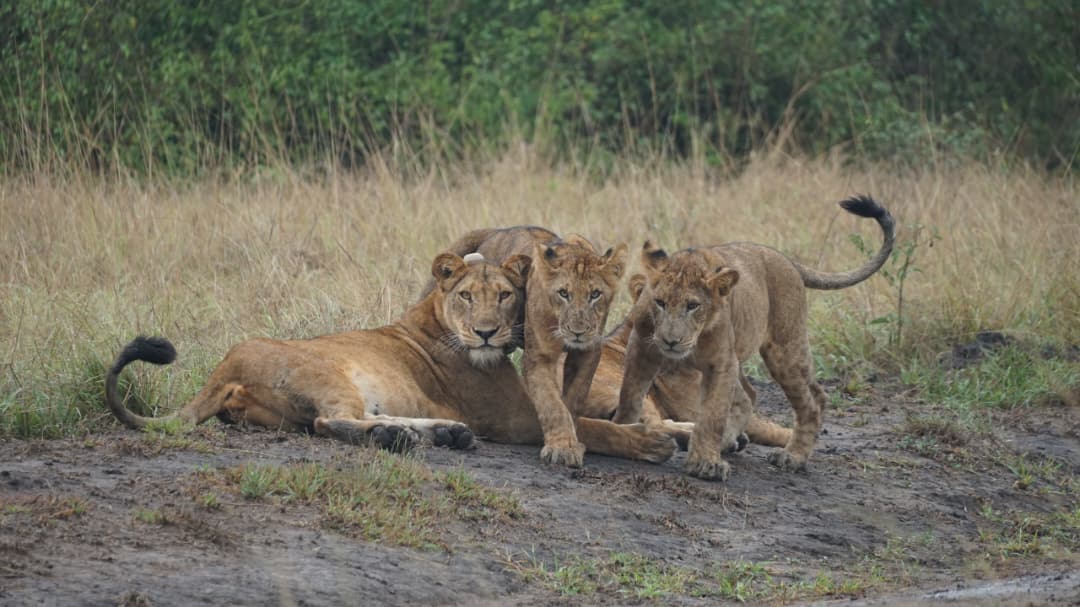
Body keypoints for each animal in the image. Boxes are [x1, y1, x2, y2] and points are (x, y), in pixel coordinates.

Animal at [105, 252, 677, 463]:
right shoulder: (514, 419)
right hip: (330, 374)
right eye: (467, 296)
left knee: (352, 420)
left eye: (505, 294)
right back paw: (400, 438)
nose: (486, 333)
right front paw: (651, 441)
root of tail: (224, 367)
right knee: (331, 422)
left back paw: (436, 433)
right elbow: (587, 426)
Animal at [432, 226, 628, 467]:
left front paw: (571, 440)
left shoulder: (587, 353)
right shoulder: (539, 357)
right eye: (564, 293)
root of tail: (498, 231)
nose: (578, 332)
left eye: (595, 294)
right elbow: (551, 404)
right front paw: (561, 447)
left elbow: (574, 399)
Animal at [611, 195, 895, 480]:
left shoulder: (720, 362)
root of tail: (785, 259)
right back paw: (730, 441)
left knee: (812, 401)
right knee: (752, 395)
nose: (671, 341)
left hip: (784, 350)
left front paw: (705, 463)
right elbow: (630, 395)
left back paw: (793, 456)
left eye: (693, 306)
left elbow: (712, 415)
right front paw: (624, 430)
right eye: (660, 302)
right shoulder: (642, 347)